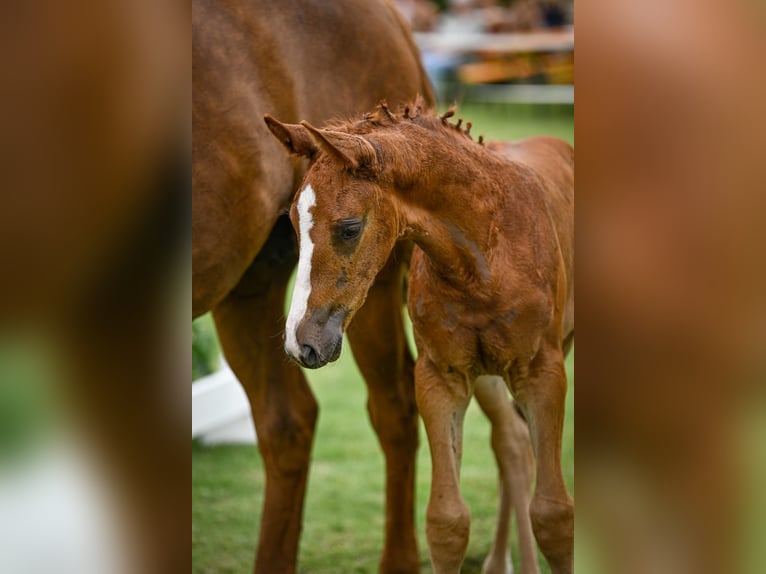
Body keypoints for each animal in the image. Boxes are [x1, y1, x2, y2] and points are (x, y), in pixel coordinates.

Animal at [194, 1, 432, 574]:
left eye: (348, 229)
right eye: (296, 224)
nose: (304, 345)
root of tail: (394, 17)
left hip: (372, 296)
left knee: (395, 408)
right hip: (248, 288)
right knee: (288, 424)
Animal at [268, 101, 572, 572]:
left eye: (349, 228)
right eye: (295, 228)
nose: (302, 343)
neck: (486, 257)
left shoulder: (544, 374)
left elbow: (554, 515)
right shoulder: (439, 378)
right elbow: (446, 522)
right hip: (489, 378)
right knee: (511, 444)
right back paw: (499, 559)